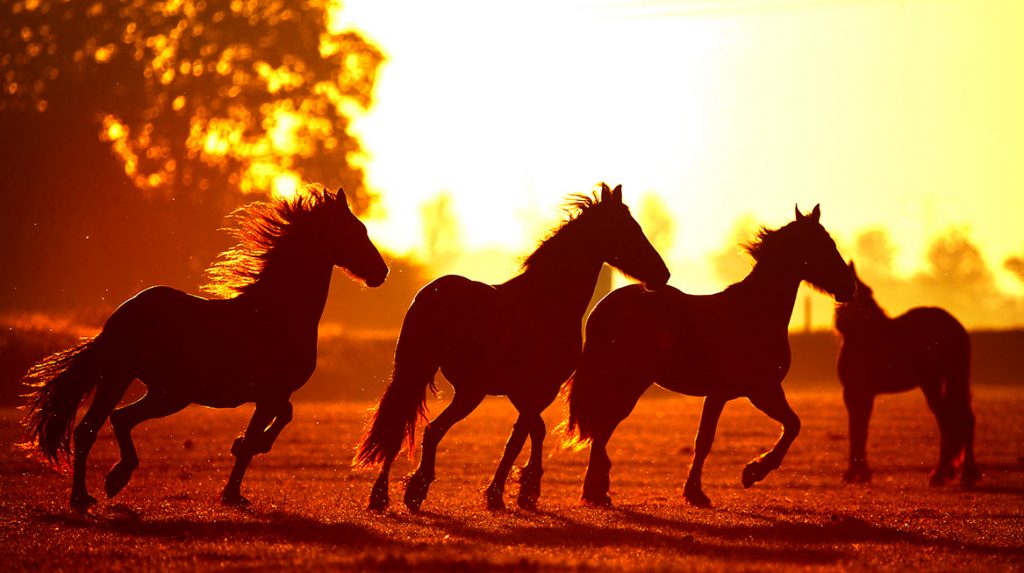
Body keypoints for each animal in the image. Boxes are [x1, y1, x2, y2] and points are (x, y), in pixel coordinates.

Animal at [21, 186, 388, 511]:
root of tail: (120, 317)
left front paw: (241, 454)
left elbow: (284, 416)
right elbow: (259, 436)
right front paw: (233, 491)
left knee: (103, 424)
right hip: (157, 390)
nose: (381, 272)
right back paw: (100, 488)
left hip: (143, 385)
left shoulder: (274, 394)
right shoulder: (268, 394)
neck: (276, 312)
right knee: (102, 425)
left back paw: (96, 490)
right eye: (355, 231)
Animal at [354, 183, 669, 512]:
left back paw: (381, 496)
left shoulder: (522, 393)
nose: (663, 274)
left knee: (402, 427)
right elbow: (521, 437)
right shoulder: (540, 390)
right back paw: (415, 490)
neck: (547, 300)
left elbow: (532, 432)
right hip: (468, 391)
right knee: (431, 429)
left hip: (422, 375)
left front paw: (522, 490)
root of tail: (431, 296)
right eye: (629, 229)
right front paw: (510, 492)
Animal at [565, 204, 854, 508]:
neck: (755, 313)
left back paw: (597, 490)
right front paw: (750, 473)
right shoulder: (761, 391)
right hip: (628, 384)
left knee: (602, 428)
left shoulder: (723, 395)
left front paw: (699, 490)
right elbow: (791, 426)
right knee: (602, 427)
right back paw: (595, 491)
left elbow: (705, 440)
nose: (849, 287)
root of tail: (603, 308)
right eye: (824, 245)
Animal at [834, 261, 978, 487]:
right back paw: (962, 475)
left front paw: (853, 474)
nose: (842, 321)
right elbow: (861, 428)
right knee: (964, 418)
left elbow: (856, 429)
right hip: (953, 380)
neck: (865, 333)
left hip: (933, 383)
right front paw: (862, 474)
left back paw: (943, 475)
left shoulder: (853, 391)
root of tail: (956, 327)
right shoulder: (864, 393)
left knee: (950, 421)